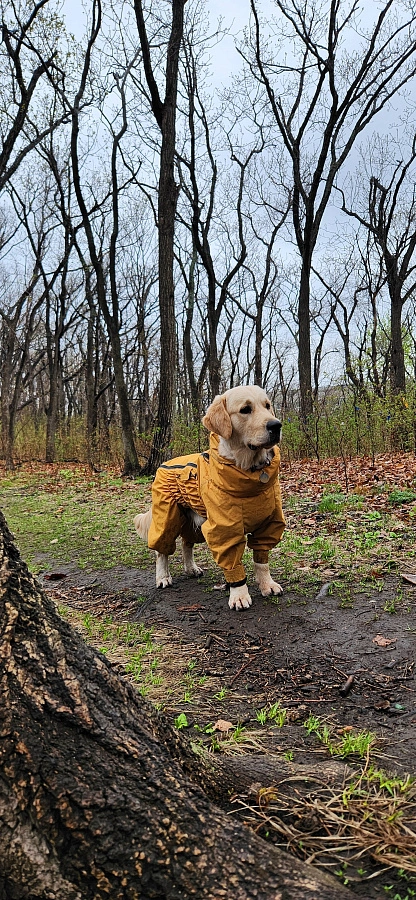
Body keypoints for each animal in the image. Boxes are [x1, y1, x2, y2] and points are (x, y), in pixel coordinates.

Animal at [135, 384, 284, 608]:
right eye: (245, 410)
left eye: (267, 406)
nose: (276, 425)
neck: (249, 472)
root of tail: (165, 464)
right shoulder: (225, 529)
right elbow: (232, 561)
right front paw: (239, 594)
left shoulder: (268, 524)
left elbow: (261, 559)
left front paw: (267, 584)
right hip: (168, 516)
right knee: (161, 549)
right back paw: (163, 577)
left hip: (193, 522)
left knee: (186, 544)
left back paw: (191, 569)